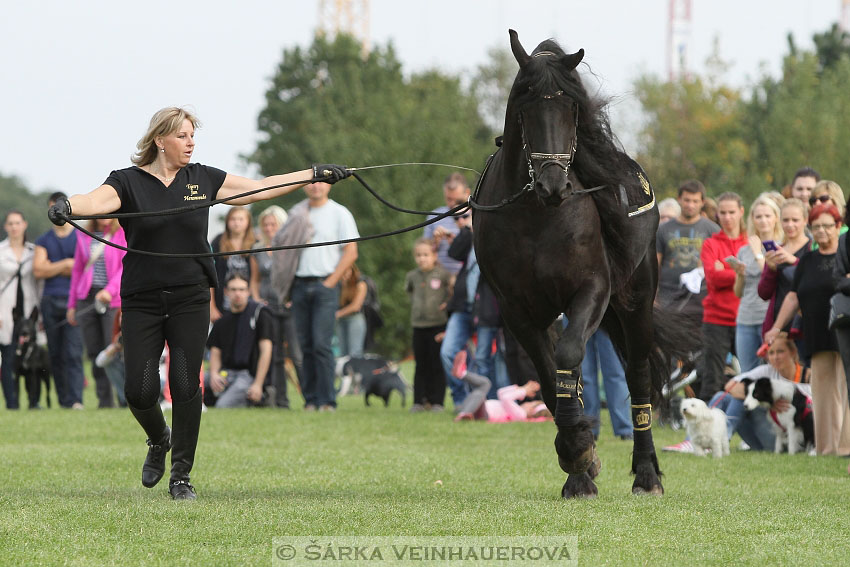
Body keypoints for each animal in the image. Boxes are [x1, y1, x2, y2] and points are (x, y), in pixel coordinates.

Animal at [474, 31, 692, 500]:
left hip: (635, 305)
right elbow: (550, 373)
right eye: (526, 105)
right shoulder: (518, 312)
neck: (537, 218)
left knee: (638, 376)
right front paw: (580, 462)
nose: (553, 185)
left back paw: (647, 474)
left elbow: (570, 353)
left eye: (572, 108)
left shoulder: (592, 291)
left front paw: (580, 451)